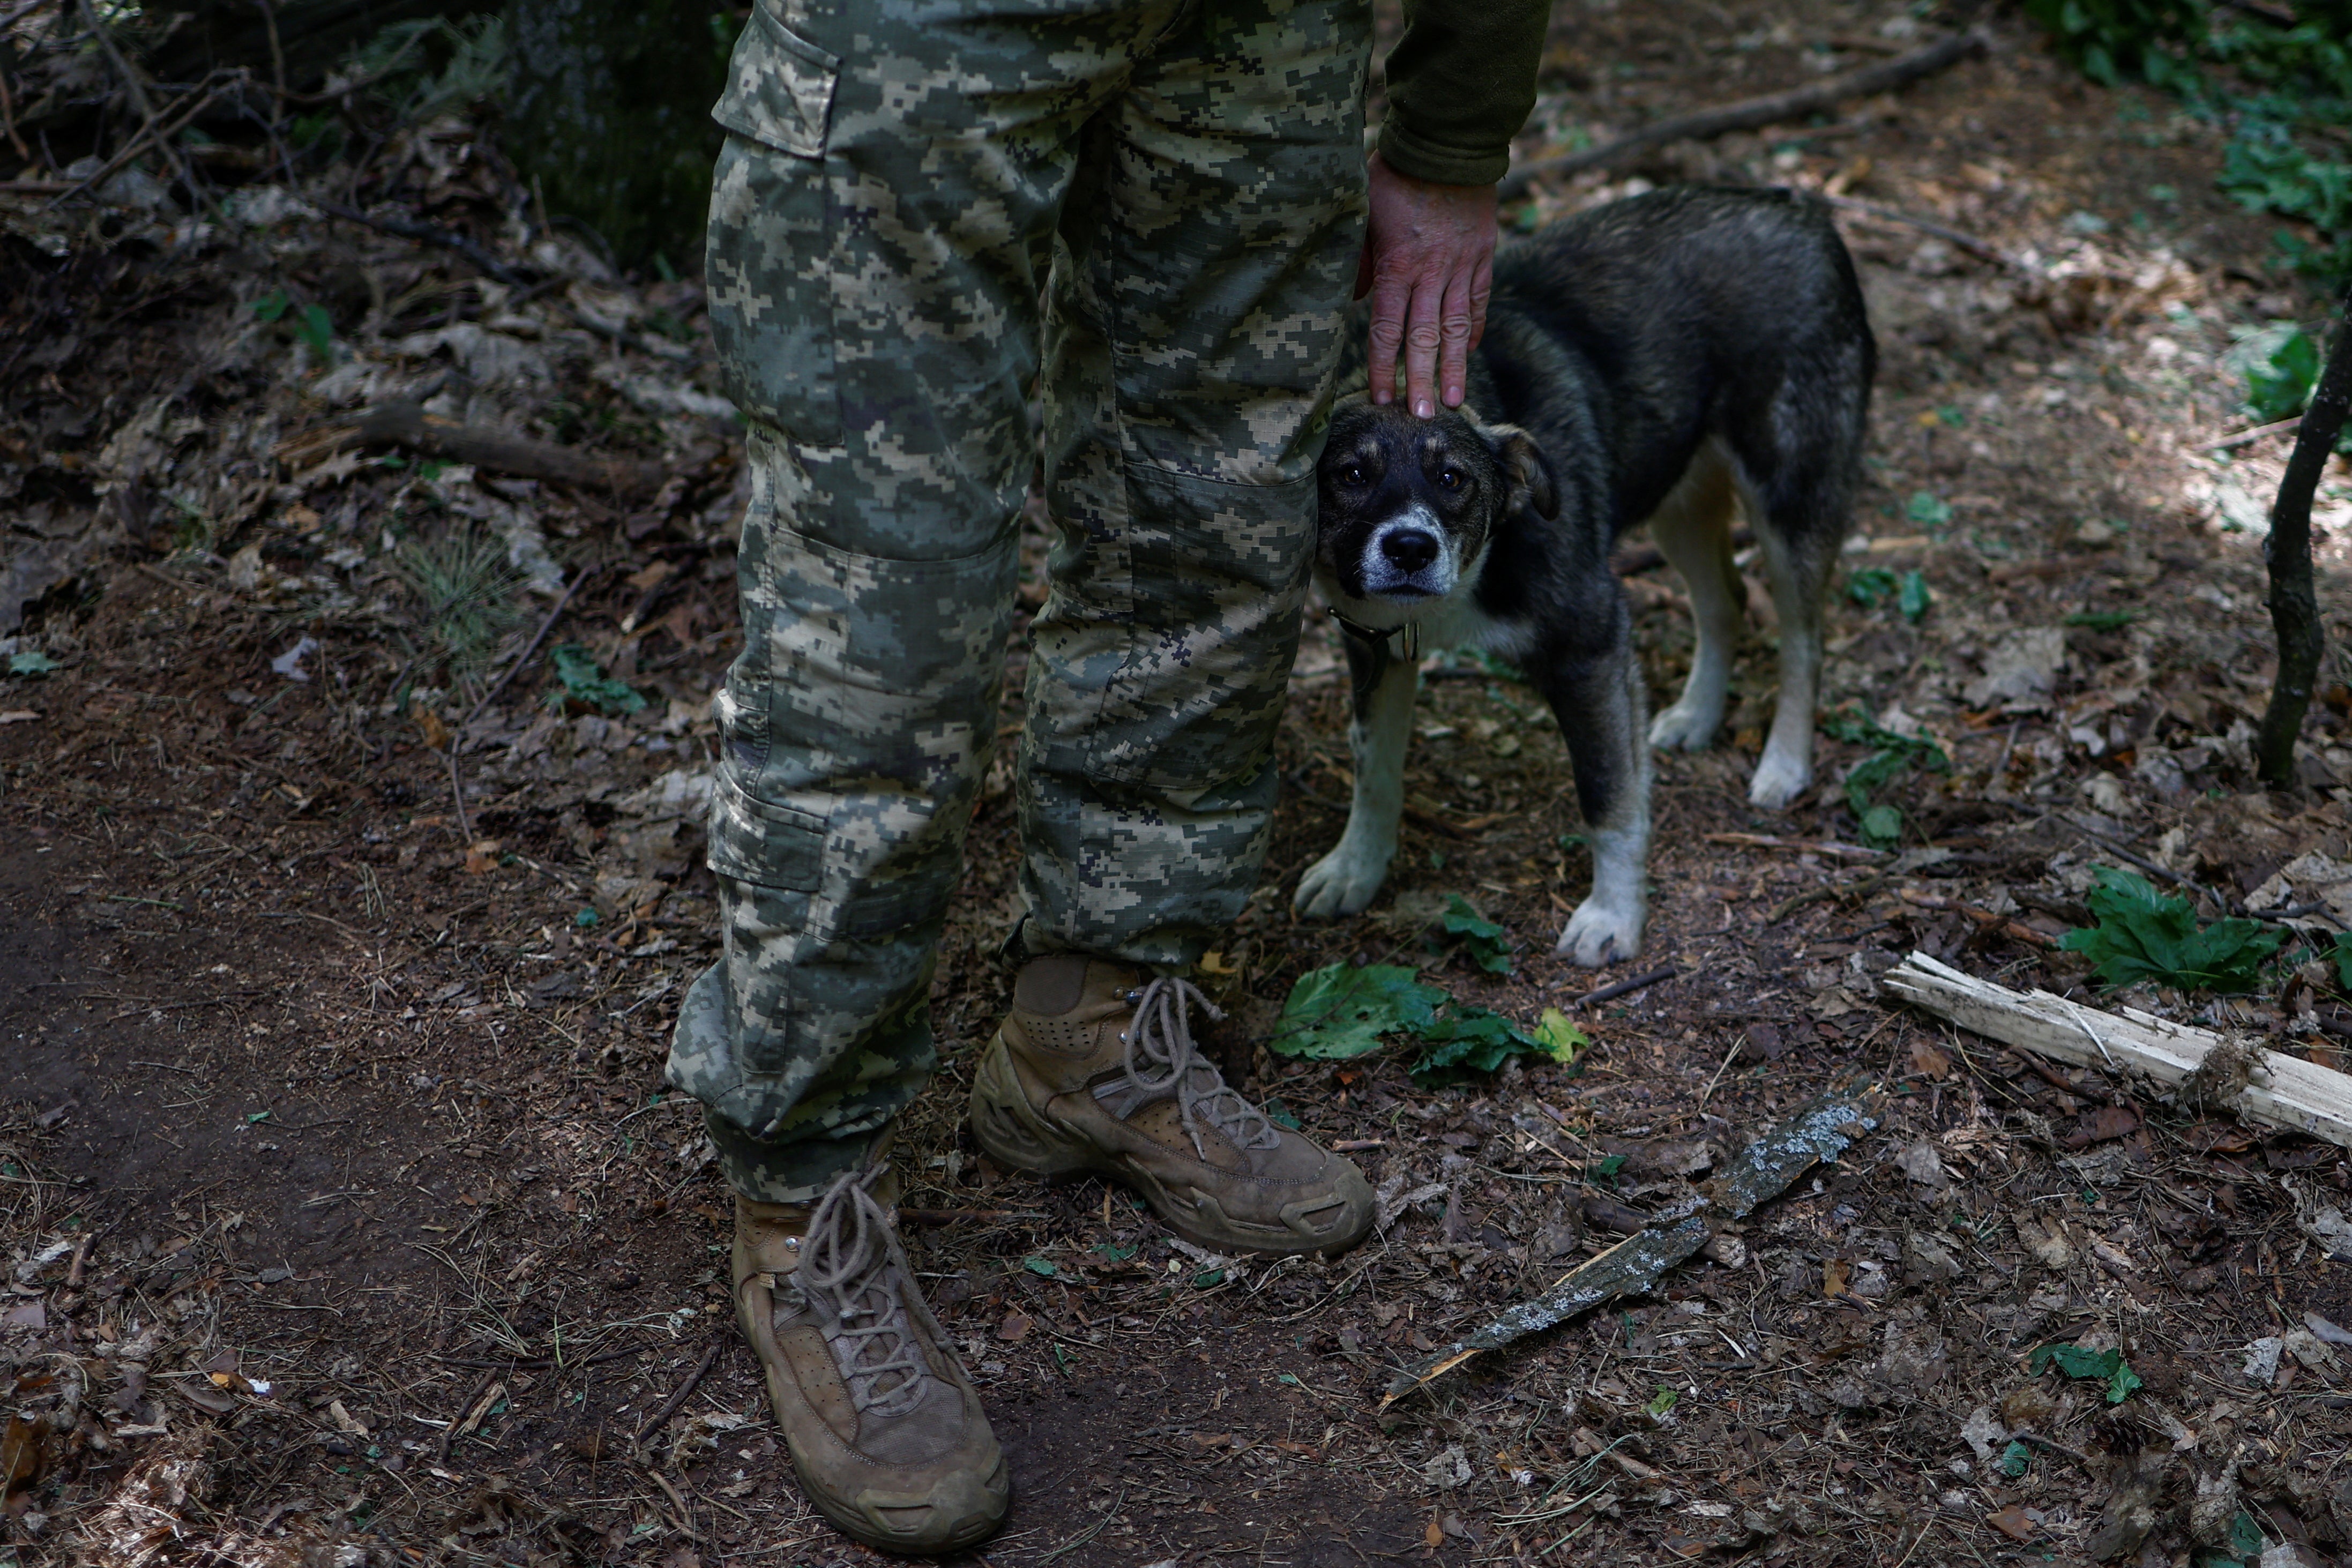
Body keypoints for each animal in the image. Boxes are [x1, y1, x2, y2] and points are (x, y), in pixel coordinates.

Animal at [1298, 188, 1863, 964]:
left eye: (1452, 479)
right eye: (1351, 475)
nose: (1410, 547)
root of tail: (1804, 206)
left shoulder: (1591, 644)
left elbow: (1609, 796)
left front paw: (1613, 917)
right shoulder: (1373, 651)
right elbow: (1373, 769)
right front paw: (1356, 867)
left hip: (1789, 496)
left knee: (1803, 637)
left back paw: (1784, 764)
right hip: (1677, 497)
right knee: (1725, 600)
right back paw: (1695, 716)